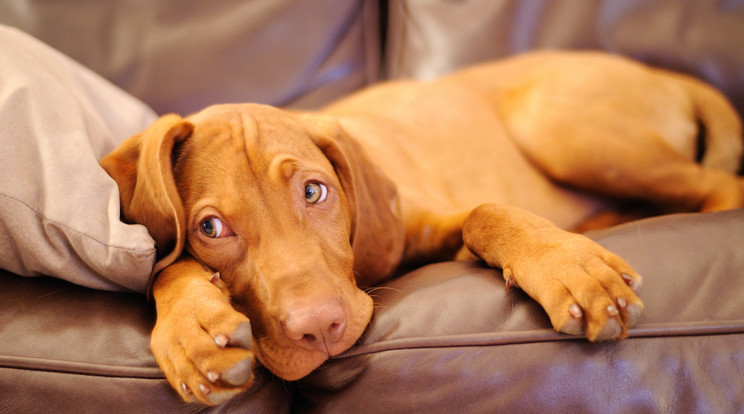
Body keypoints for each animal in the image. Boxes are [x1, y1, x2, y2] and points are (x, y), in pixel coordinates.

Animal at [100, 51, 744, 404]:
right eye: (211, 228)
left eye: (314, 191)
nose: (320, 329)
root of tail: (657, 70)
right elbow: (167, 267)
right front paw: (191, 331)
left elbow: (486, 211)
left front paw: (569, 266)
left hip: (557, 125)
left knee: (721, 188)